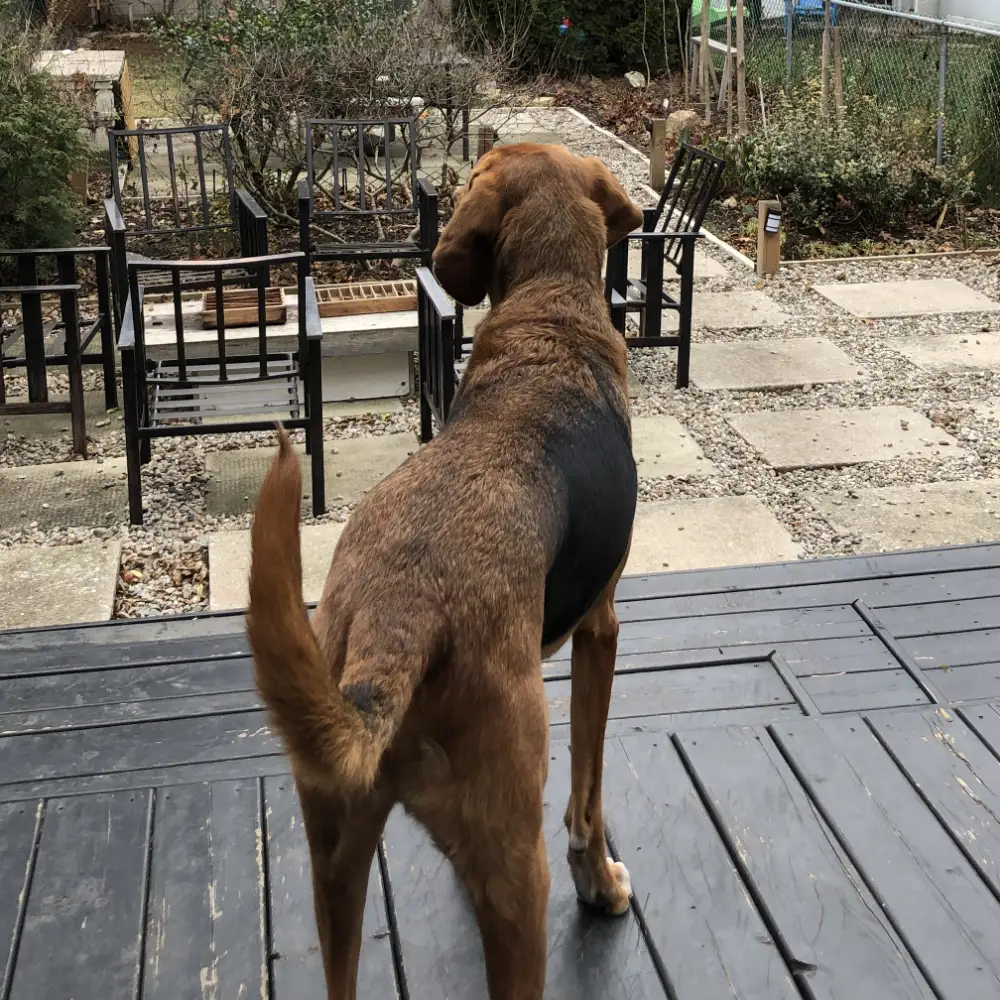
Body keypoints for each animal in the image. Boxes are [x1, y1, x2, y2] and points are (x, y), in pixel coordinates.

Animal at [246, 143, 644, 1000]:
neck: (550, 310)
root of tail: (398, 624)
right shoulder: (601, 630)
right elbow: (589, 795)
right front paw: (601, 882)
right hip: (515, 868)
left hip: (334, 860)